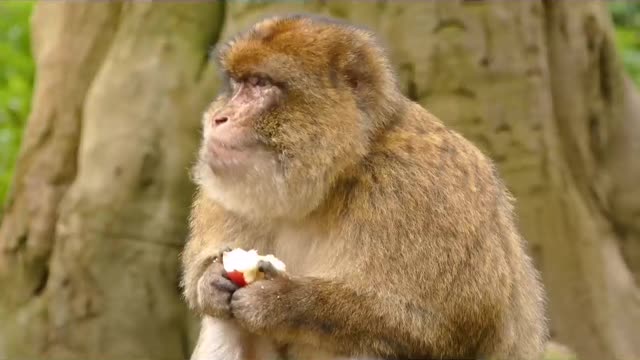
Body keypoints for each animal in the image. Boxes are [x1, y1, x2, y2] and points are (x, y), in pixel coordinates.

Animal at [180, 14, 544, 360]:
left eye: (260, 83)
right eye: (237, 84)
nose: (219, 118)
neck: (336, 180)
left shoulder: (424, 191)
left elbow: (445, 327)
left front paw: (283, 301)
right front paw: (210, 280)